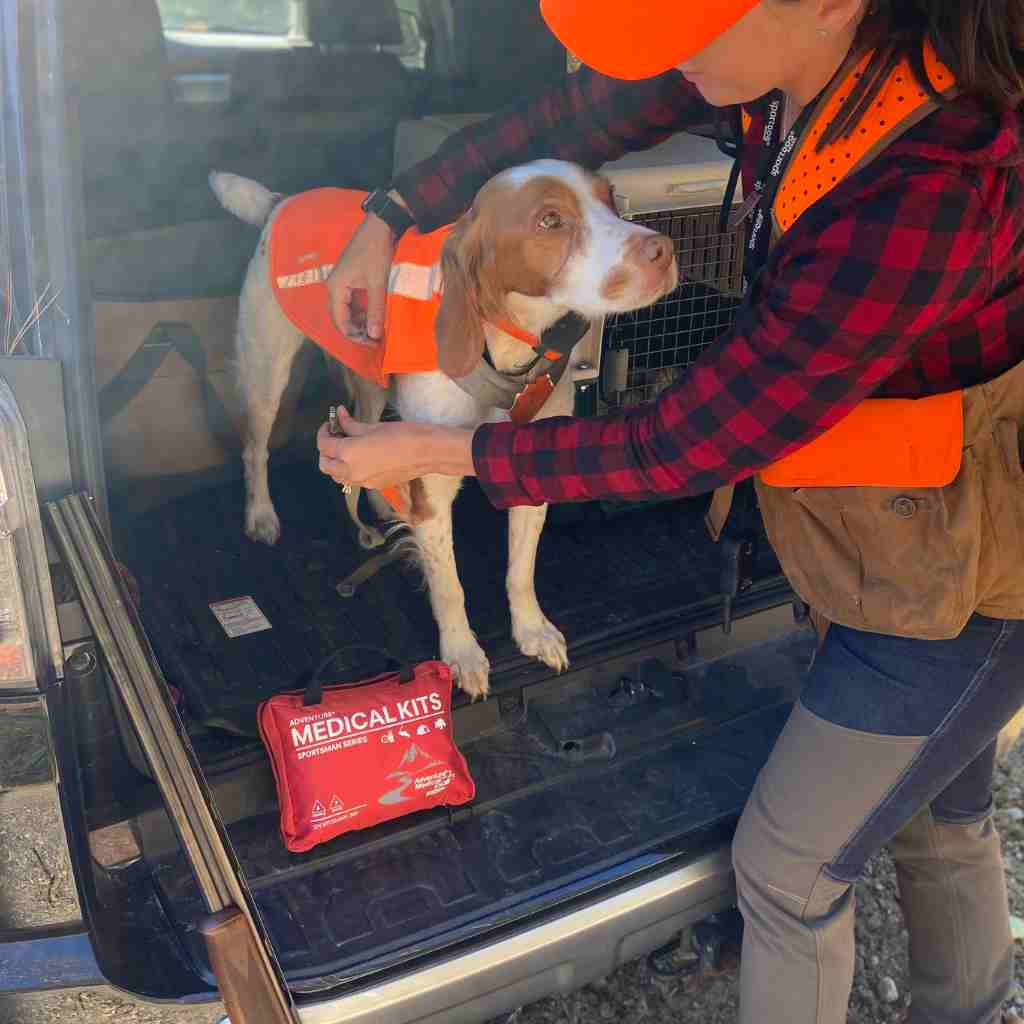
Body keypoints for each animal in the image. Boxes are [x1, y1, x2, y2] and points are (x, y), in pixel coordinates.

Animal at [210, 159, 675, 700]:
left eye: (608, 198)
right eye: (550, 221)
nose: (663, 251)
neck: (501, 353)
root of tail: (281, 200)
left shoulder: (524, 463)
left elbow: (521, 570)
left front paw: (531, 629)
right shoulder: (432, 492)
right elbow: (449, 586)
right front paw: (461, 655)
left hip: (370, 377)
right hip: (268, 367)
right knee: (255, 447)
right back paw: (261, 514)